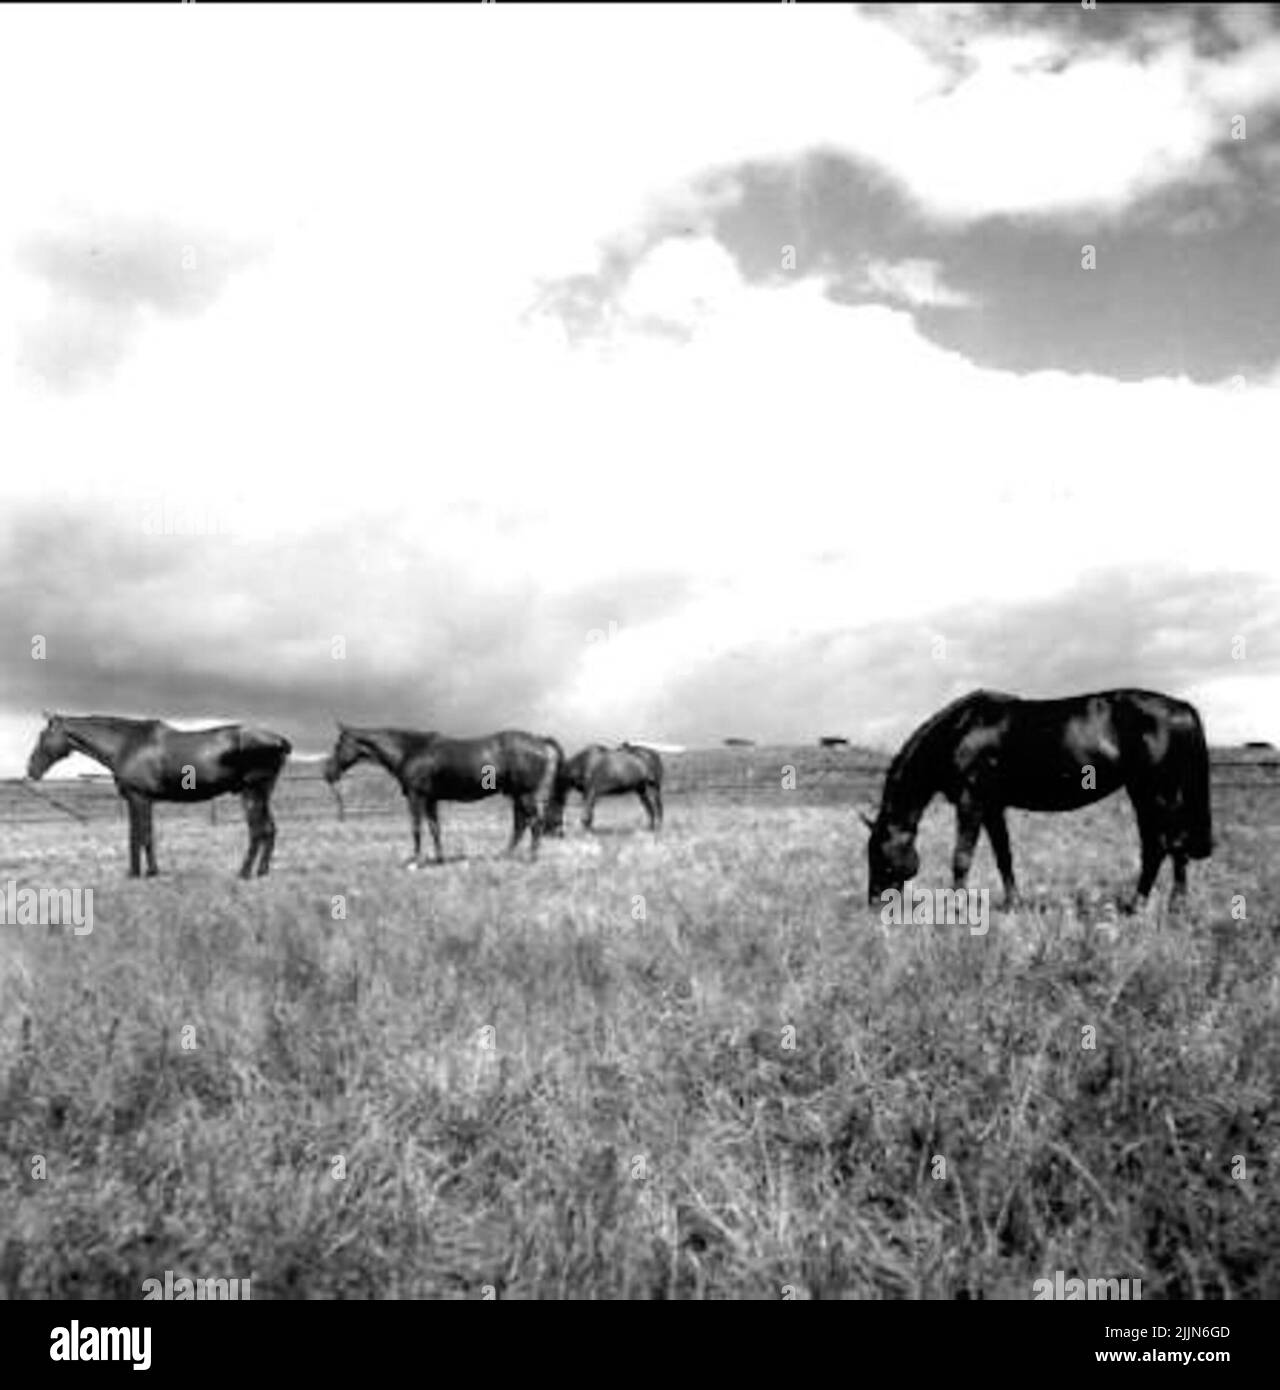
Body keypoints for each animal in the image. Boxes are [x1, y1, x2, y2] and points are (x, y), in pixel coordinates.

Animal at [26, 714, 292, 878]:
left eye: (42, 737)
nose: (31, 770)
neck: (125, 744)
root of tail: (279, 740)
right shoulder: (143, 801)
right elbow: (143, 835)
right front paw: (145, 872)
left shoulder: (138, 798)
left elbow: (140, 836)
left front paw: (140, 873)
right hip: (263, 794)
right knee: (270, 829)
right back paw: (262, 872)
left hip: (252, 793)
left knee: (257, 832)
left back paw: (244, 874)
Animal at [323, 725, 564, 867]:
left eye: (338, 745)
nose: (328, 773)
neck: (410, 750)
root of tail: (540, 741)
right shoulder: (430, 800)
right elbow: (434, 828)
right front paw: (439, 859)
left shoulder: (416, 797)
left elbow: (416, 828)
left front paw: (415, 860)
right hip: (517, 795)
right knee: (520, 825)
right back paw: (504, 856)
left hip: (525, 795)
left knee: (534, 823)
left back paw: (531, 858)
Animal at [862, 689, 1212, 912]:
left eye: (878, 855)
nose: (876, 903)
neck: (961, 731)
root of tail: (1182, 708)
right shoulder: (992, 806)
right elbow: (1004, 855)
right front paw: (1013, 903)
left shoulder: (971, 801)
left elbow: (961, 857)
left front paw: (956, 908)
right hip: (1144, 793)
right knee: (1159, 846)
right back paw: (1141, 904)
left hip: (1160, 794)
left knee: (1168, 845)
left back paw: (1163, 905)